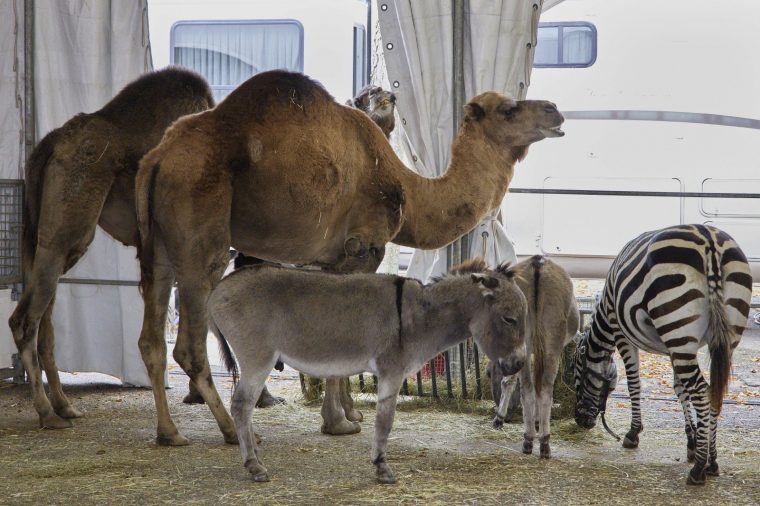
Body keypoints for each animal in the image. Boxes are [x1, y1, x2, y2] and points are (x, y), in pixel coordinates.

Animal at [7, 68, 215, 430]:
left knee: (45, 322)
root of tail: (46, 147)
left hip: (51, 242)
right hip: (68, 232)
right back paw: (47, 412)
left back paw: (64, 405)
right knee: (25, 319)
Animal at [135, 69, 564, 444]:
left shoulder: (331, 259)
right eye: (508, 109)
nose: (554, 110)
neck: (407, 188)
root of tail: (156, 160)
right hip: (201, 233)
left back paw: (168, 432)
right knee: (188, 345)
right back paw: (232, 431)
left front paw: (348, 414)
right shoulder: (363, 247)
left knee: (151, 337)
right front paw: (339, 422)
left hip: (158, 248)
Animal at [572, 223, 752, 484]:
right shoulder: (674, 348)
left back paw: (699, 469)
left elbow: (634, 385)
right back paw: (712, 461)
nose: (580, 420)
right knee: (714, 391)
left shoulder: (622, 334)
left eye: (576, 373)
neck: (606, 308)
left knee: (702, 392)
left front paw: (633, 433)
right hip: (715, 335)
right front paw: (692, 440)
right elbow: (680, 388)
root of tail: (709, 241)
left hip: (676, 324)